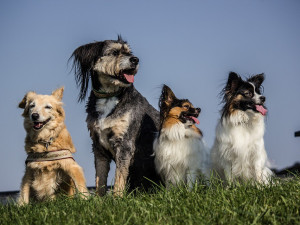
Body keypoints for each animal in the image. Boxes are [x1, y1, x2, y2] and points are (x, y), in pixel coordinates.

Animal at [69, 36, 162, 196]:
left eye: (129, 52)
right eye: (114, 52)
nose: (135, 59)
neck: (109, 97)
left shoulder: (125, 143)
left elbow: (120, 175)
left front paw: (117, 197)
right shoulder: (98, 145)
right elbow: (100, 177)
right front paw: (100, 198)